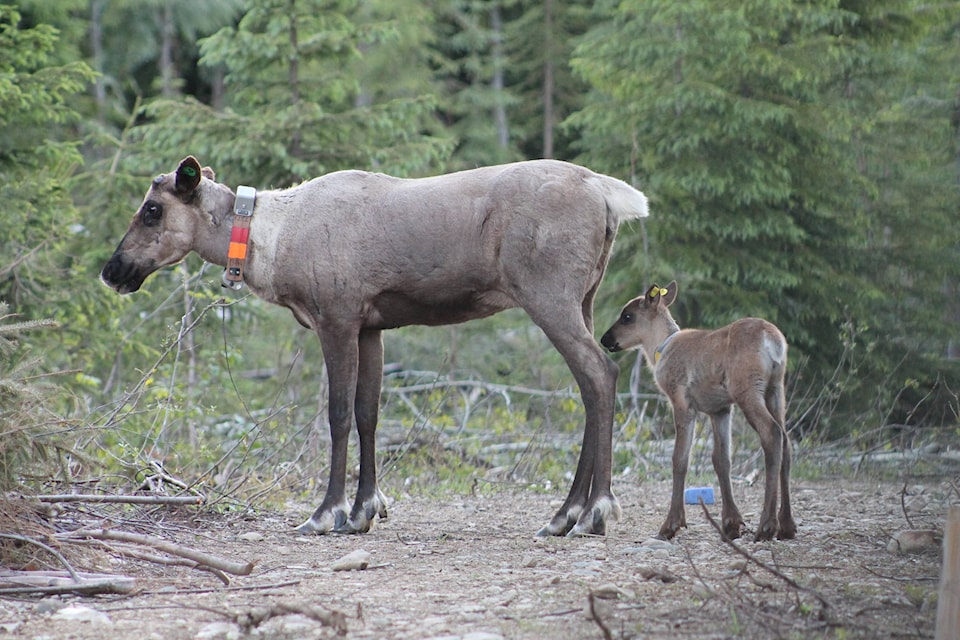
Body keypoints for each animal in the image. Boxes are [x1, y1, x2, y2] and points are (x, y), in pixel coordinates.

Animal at [101, 158, 648, 536]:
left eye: (152, 210)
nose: (112, 270)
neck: (269, 244)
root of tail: (607, 194)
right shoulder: (372, 325)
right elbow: (369, 413)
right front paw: (365, 509)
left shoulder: (337, 317)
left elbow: (339, 414)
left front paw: (326, 513)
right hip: (585, 298)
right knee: (590, 386)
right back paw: (566, 514)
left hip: (548, 294)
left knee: (601, 374)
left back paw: (592, 512)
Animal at [600, 282, 796, 540]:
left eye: (627, 316)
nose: (605, 339)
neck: (659, 349)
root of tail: (774, 341)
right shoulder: (719, 408)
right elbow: (721, 459)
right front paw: (731, 523)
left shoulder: (682, 401)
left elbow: (680, 458)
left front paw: (671, 524)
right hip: (776, 389)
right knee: (786, 440)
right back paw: (787, 525)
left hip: (748, 390)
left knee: (772, 434)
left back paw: (766, 526)